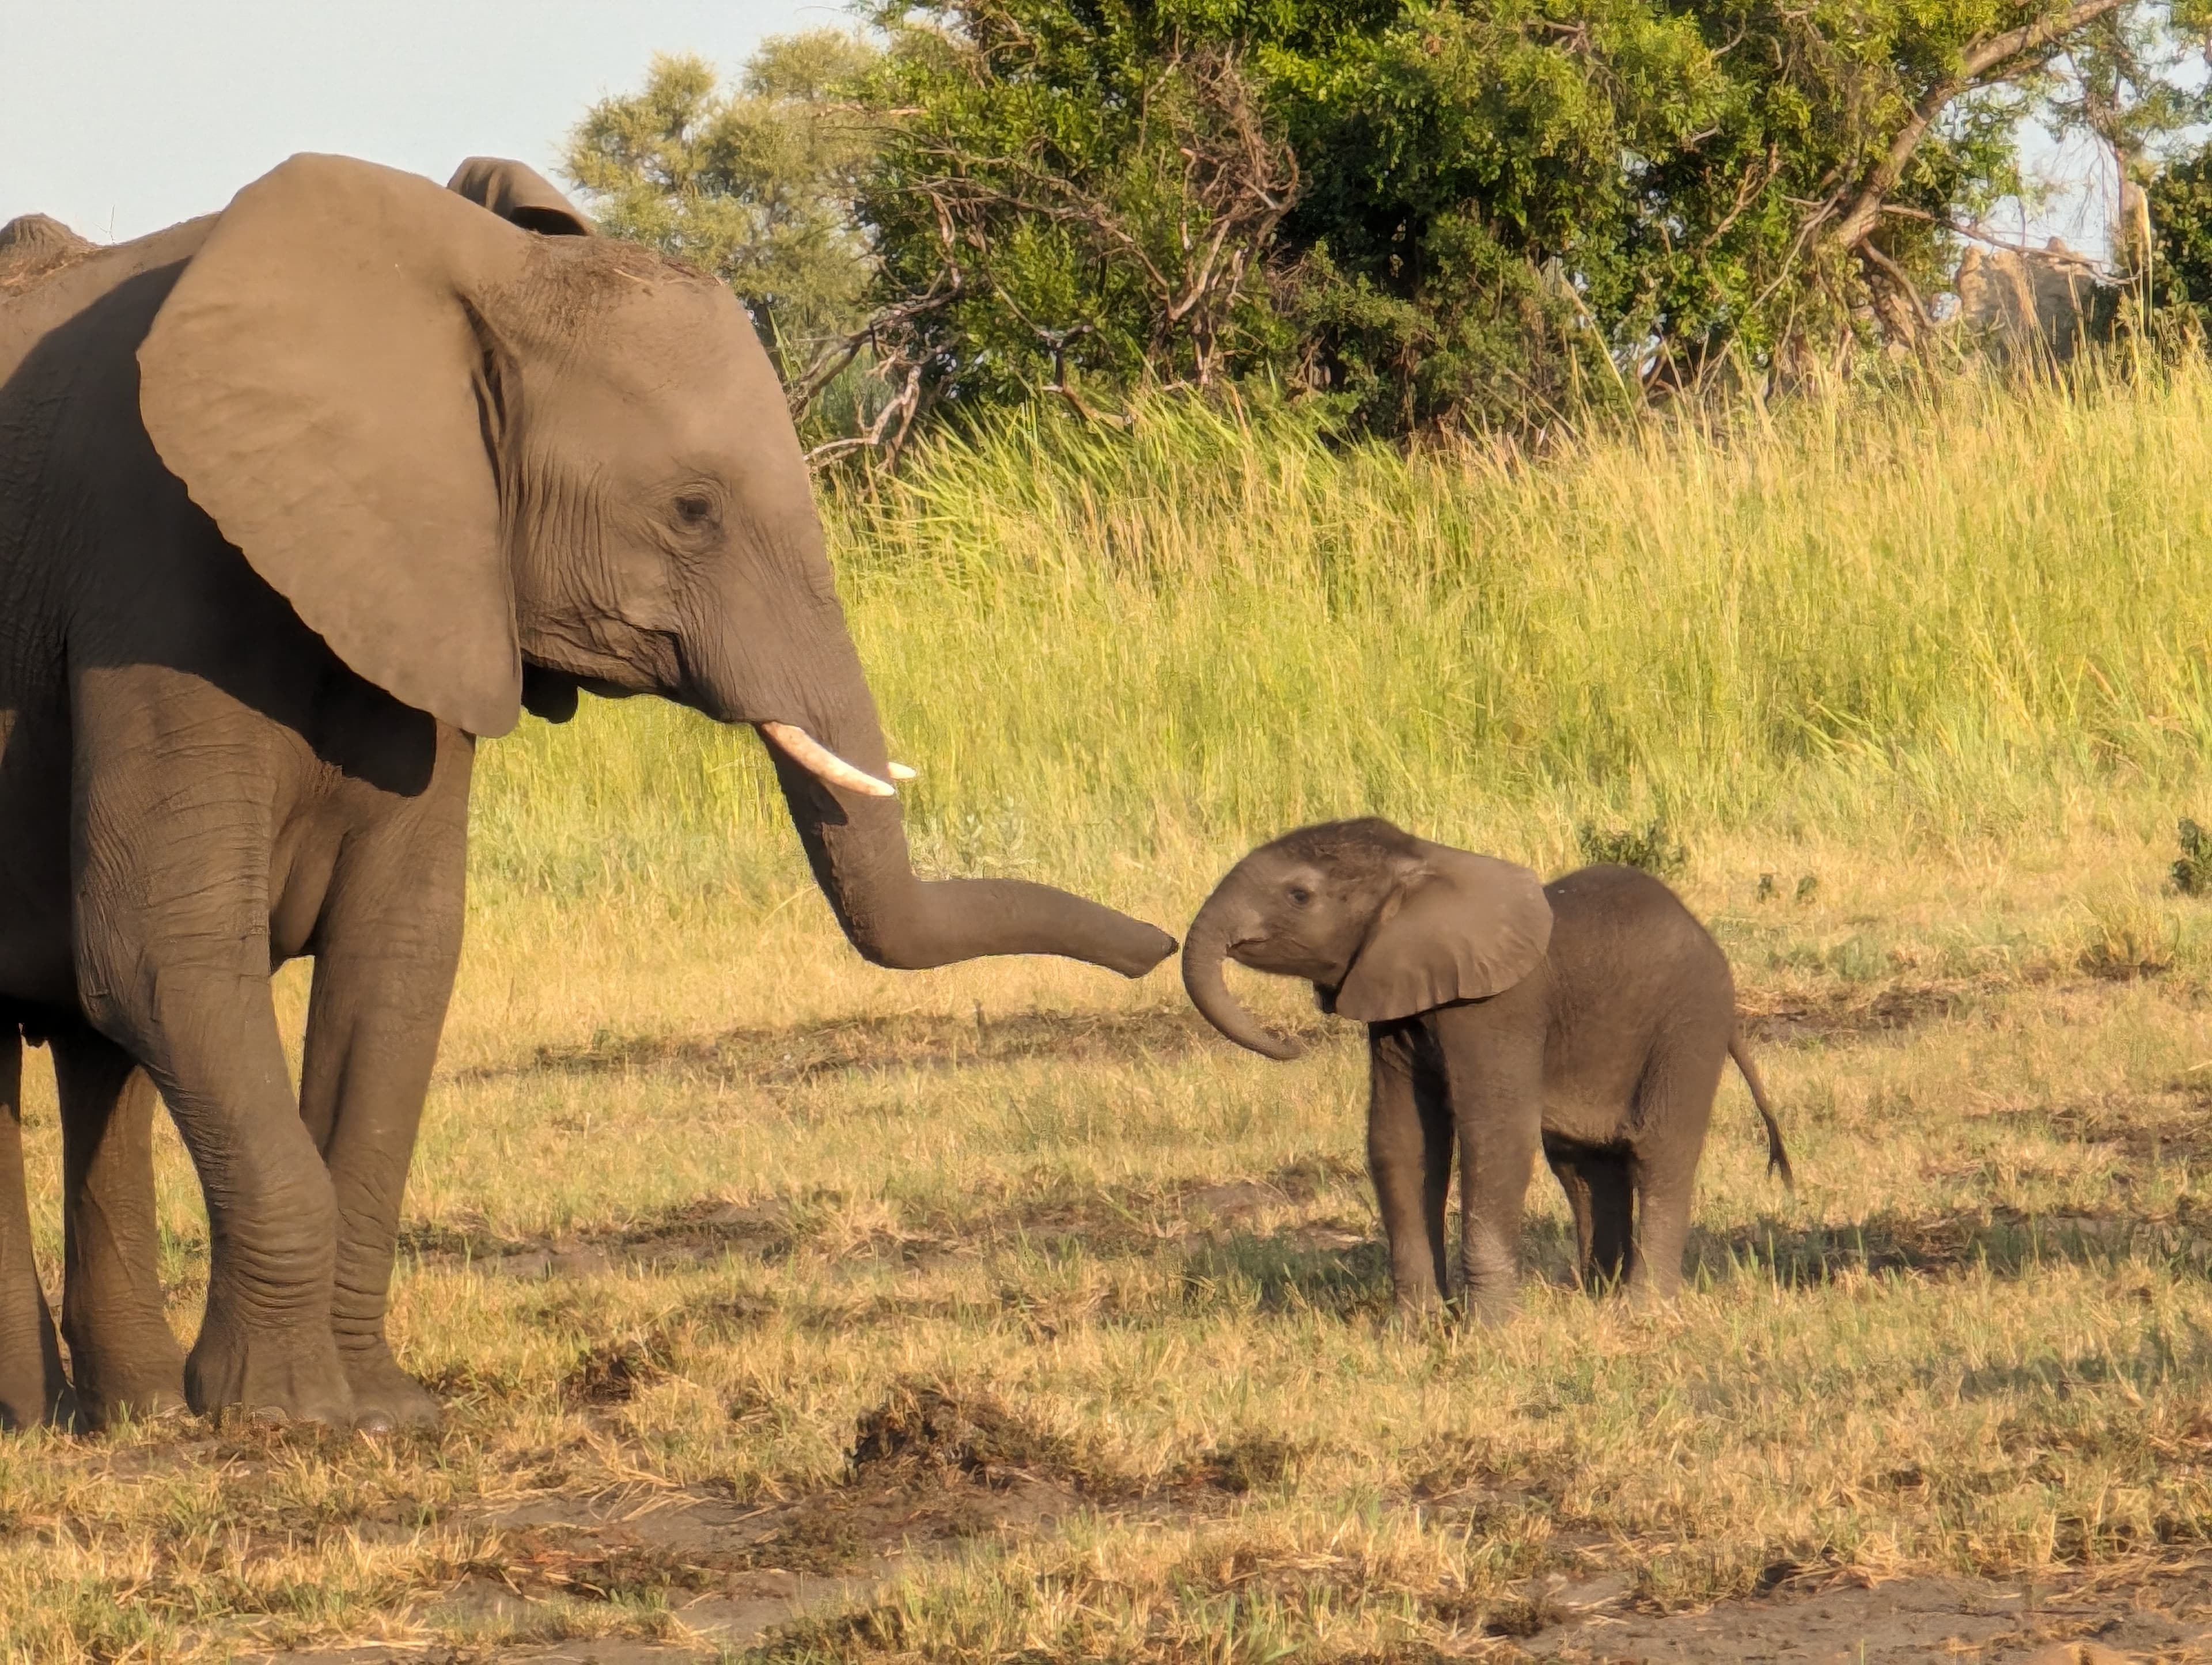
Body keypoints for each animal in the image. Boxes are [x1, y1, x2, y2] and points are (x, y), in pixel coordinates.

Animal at [0, 153, 1174, 1432]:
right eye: (694, 511)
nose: (1164, 948)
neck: (460, 293)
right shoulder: (155, 576)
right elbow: (165, 955)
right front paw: (291, 1418)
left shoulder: (434, 591)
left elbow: (398, 961)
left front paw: (387, 1411)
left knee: (90, 1049)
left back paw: (126, 1414)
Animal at [1182, 819, 1790, 1318]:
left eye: (1300, 896)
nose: (1290, 1049)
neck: (1420, 866)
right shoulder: (1396, 999)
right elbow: (1402, 1139)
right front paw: (1415, 1329)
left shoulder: (1498, 1008)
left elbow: (1494, 1137)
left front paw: (1490, 1331)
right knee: (1583, 1164)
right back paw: (1596, 1300)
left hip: (1688, 1024)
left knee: (1659, 1152)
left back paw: (1641, 1312)